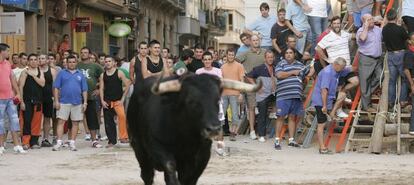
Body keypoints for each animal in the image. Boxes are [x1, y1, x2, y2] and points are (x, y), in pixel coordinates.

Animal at [128, 73, 260, 184]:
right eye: (191, 101)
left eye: (217, 100)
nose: (214, 129)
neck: (185, 136)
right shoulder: (157, 146)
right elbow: (170, 167)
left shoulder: (202, 156)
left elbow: (190, 178)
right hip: (139, 150)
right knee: (147, 175)